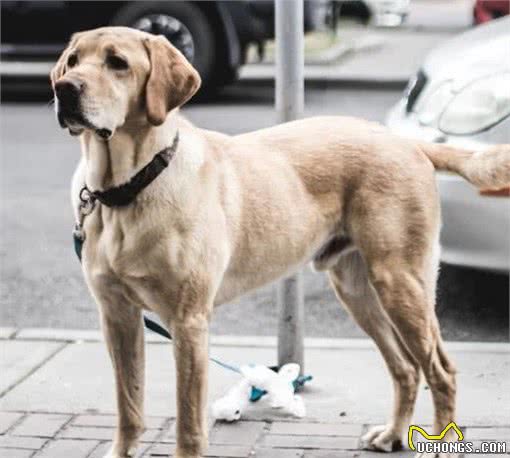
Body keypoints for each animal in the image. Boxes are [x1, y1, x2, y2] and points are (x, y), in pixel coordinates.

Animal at [51, 26, 510, 456]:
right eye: (72, 60)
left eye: (118, 63)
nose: (63, 88)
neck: (127, 188)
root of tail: (406, 141)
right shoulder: (118, 316)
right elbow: (128, 406)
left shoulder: (189, 321)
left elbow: (188, 421)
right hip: (358, 290)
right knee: (406, 369)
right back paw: (394, 434)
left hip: (401, 282)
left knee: (441, 370)